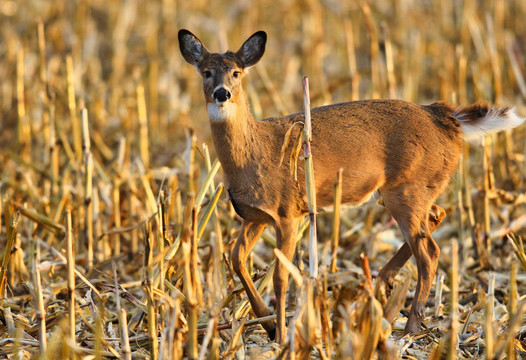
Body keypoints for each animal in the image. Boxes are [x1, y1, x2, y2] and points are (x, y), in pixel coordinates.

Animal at [179, 28, 524, 344]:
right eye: (206, 71)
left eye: (236, 72)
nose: (222, 93)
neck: (255, 153)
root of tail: (448, 119)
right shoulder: (255, 215)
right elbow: (236, 259)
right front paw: (270, 325)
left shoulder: (289, 212)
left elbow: (281, 276)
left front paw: (282, 335)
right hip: (411, 188)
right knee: (437, 217)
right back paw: (381, 285)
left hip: (406, 188)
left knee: (429, 251)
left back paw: (410, 328)